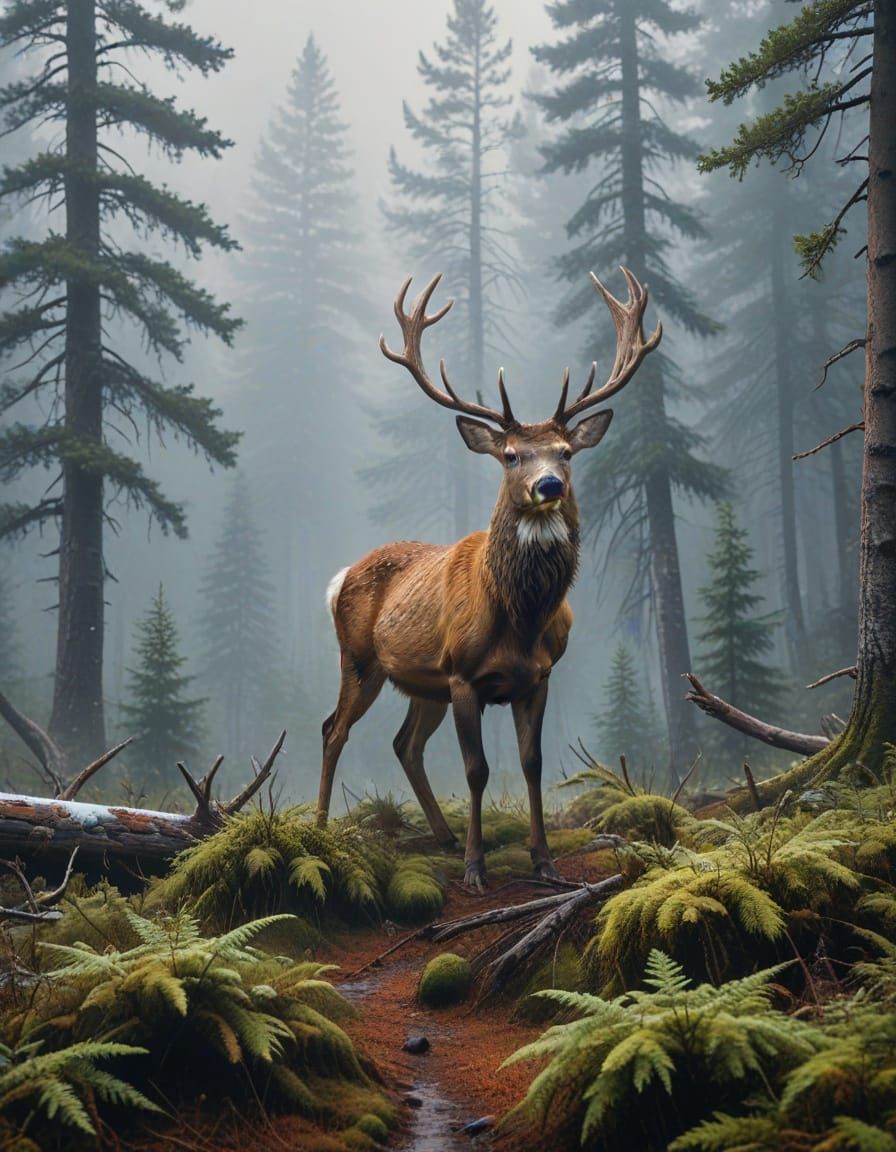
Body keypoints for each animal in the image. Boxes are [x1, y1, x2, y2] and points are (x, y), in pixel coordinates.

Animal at [317, 268, 661, 888]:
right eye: (510, 455)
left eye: (566, 451)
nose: (549, 485)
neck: (519, 621)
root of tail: (340, 577)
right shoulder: (463, 675)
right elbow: (476, 769)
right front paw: (477, 868)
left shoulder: (539, 676)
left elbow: (532, 763)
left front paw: (543, 861)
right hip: (360, 658)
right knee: (334, 729)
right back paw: (320, 825)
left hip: (420, 680)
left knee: (404, 744)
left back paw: (445, 836)